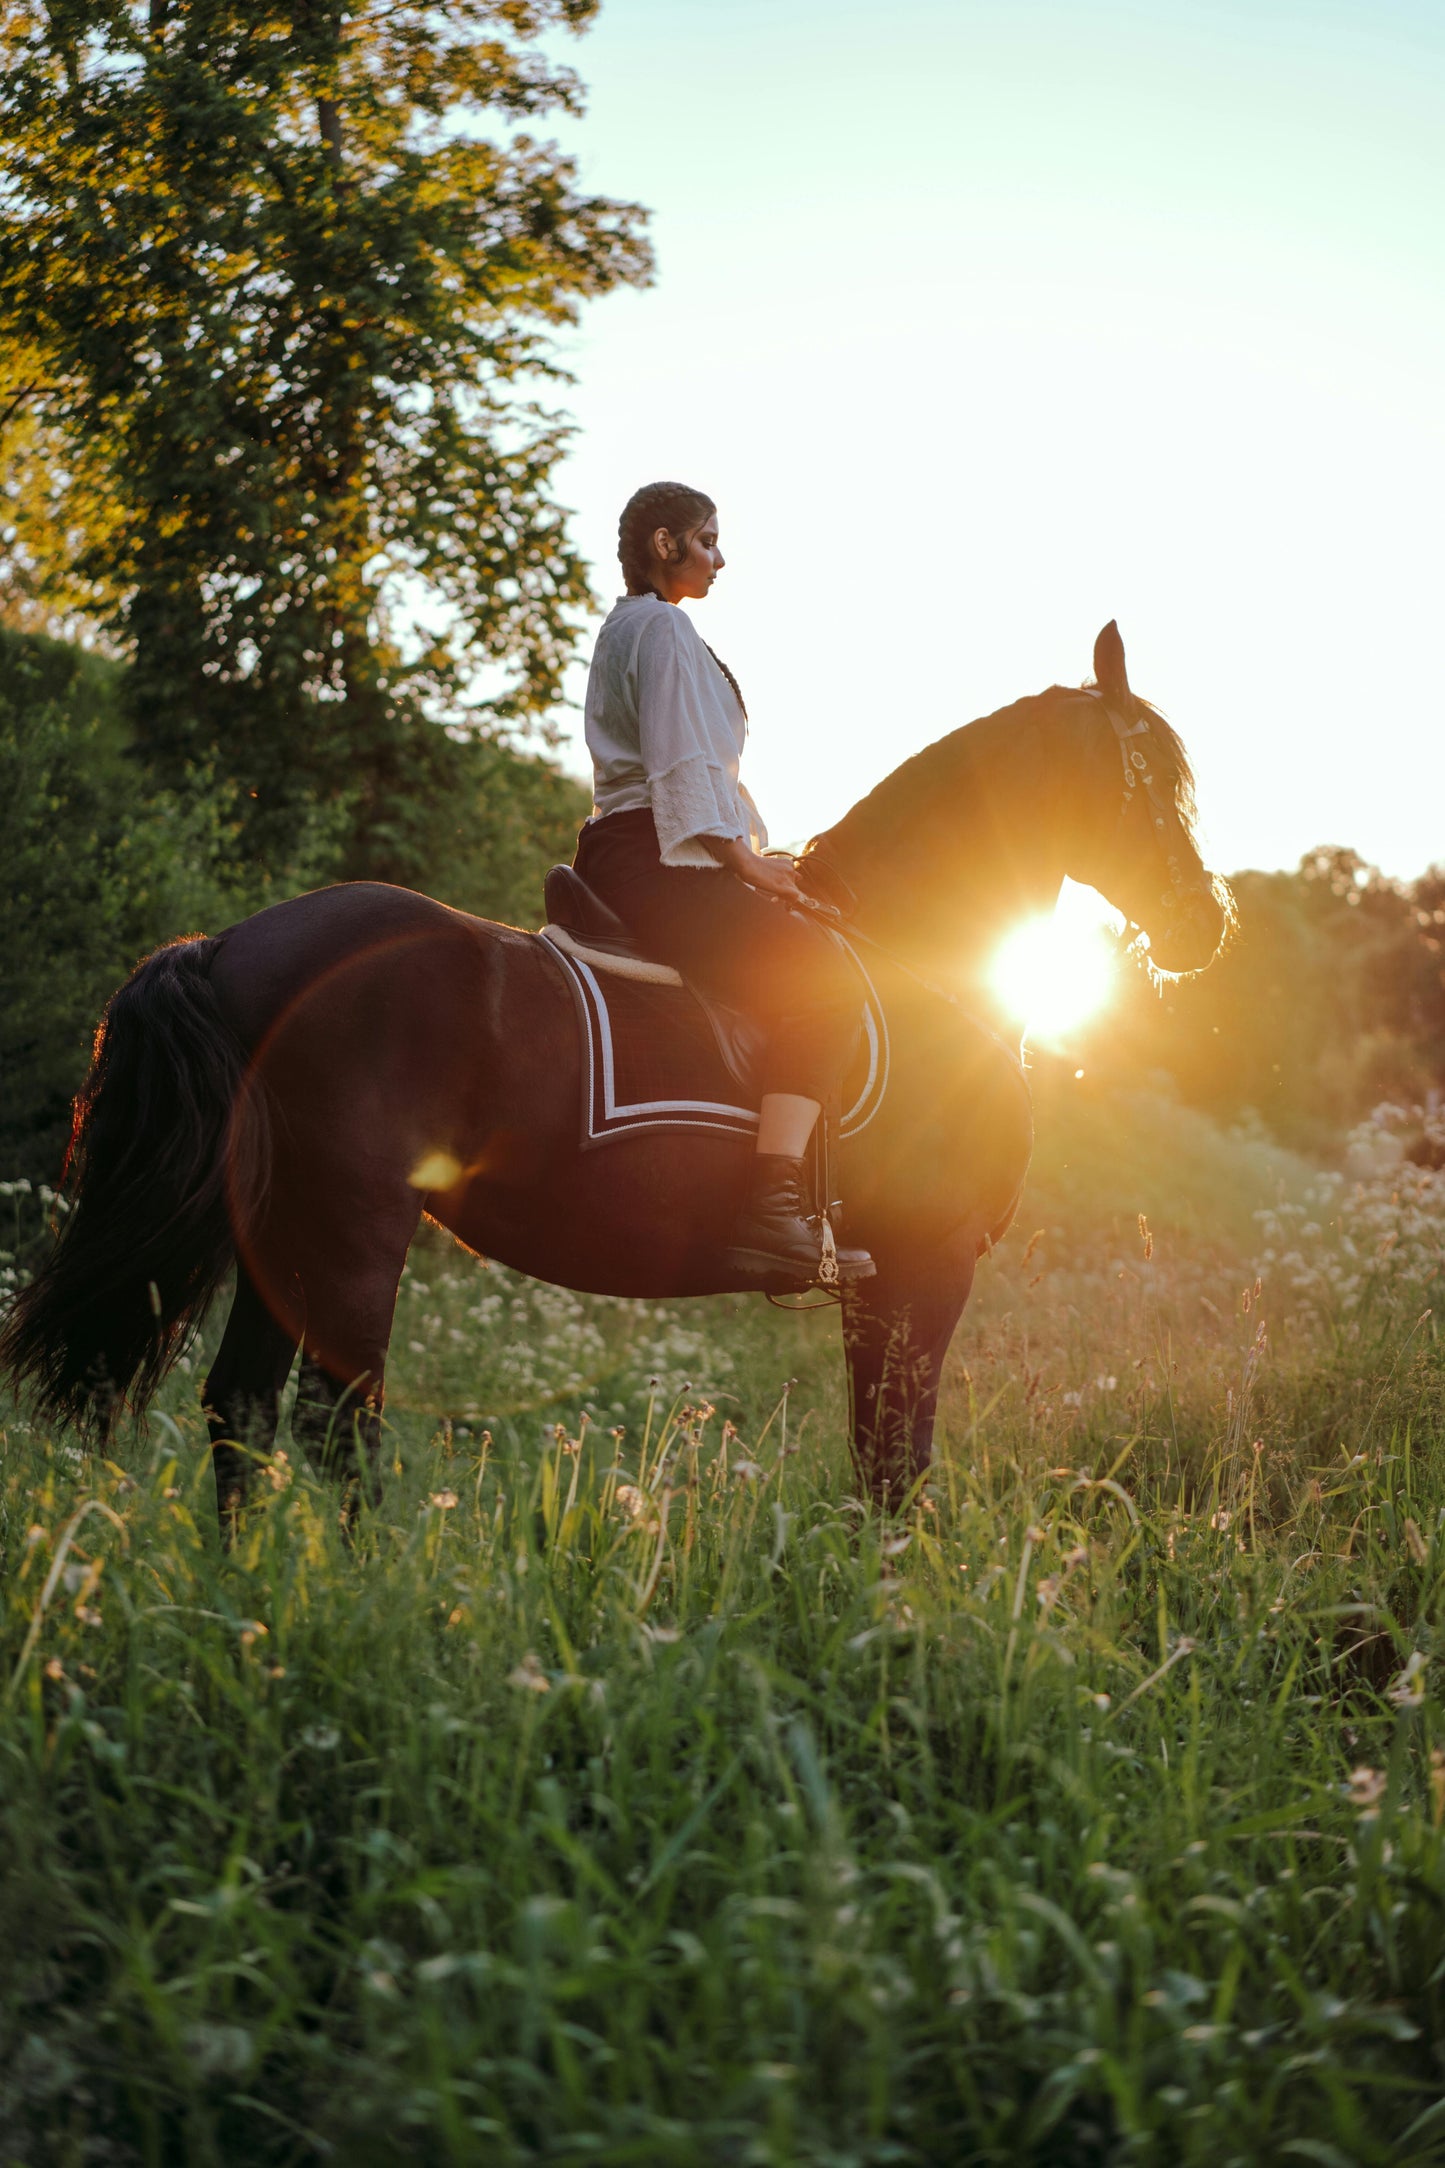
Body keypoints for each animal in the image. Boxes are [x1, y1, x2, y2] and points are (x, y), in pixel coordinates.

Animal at [1, 623, 1230, 1519]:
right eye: (1148, 780)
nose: (1204, 927)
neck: (914, 949)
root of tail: (232, 945)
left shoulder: (885, 1280)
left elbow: (874, 1461)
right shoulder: (922, 1265)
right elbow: (896, 1468)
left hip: (285, 1230)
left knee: (243, 1413)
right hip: (354, 1225)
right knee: (330, 1421)